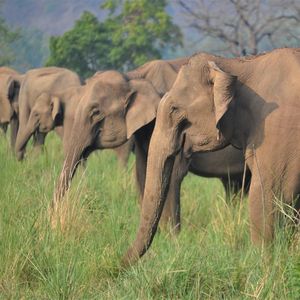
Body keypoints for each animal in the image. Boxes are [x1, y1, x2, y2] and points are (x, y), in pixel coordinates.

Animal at [54, 56, 251, 230]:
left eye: (95, 113)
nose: (54, 223)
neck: (134, 76)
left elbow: (172, 176)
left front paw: (172, 238)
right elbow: (143, 173)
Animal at [122, 48, 300, 266]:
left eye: (174, 109)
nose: (118, 265)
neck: (240, 64)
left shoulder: (280, 129)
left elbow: (270, 195)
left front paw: (264, 267)